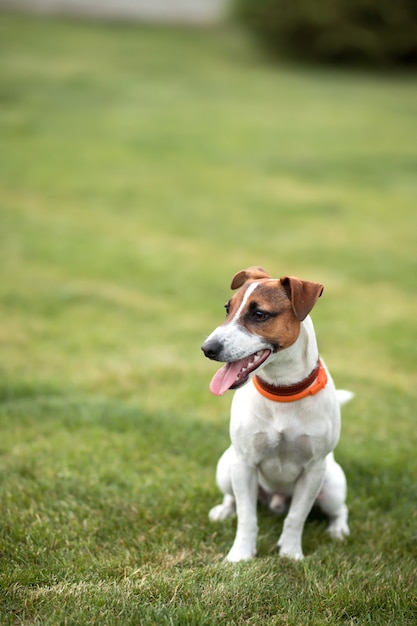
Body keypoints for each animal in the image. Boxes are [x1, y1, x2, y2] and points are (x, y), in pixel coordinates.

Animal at [202, 264, 352, 560]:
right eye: (227, 308)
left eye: (259, 314)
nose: (207, 348)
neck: (282, 390)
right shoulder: (244, 464)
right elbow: (247, 517)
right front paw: (240, 555)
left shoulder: (313, 471)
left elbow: (296, 517)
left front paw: (291, 554)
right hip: (226, 468)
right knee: (232, 498)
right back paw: (223, 511)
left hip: (331, 485)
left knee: (339, 510)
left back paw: (338, 530)